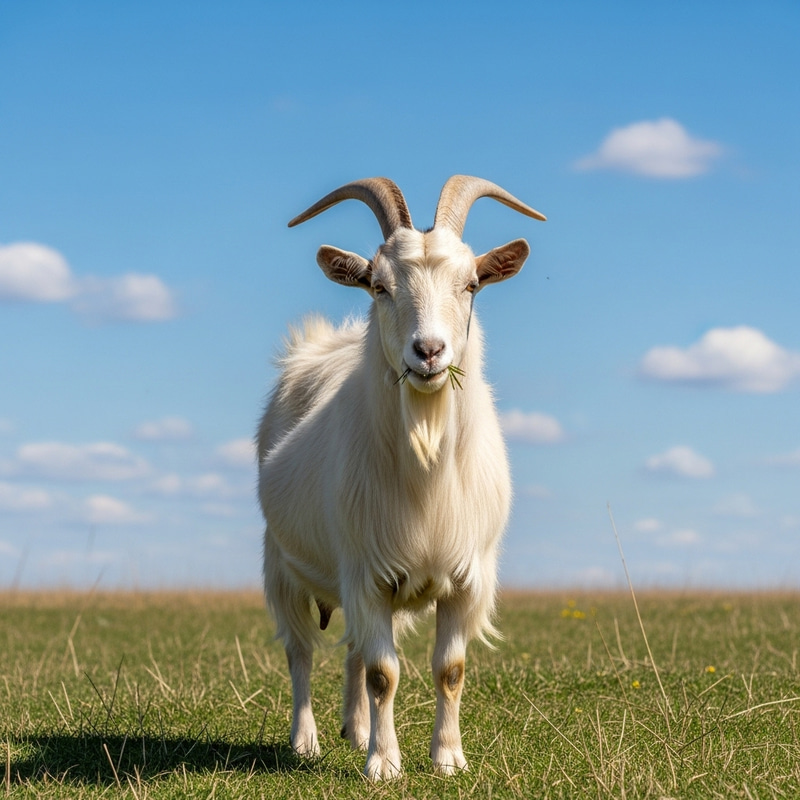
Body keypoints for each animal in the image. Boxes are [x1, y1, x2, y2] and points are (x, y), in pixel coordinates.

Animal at [257, 176, 545, 779]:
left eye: (472, 284)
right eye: (379, 286)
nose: (429, 352)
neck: (426, 468)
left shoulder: (465, 578)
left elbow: (449, 669)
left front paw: (448, 757)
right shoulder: (366, 573)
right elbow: (383, 673)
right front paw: (385, 764)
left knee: (351, 649)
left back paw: (355, 729)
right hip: (282, 563)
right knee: (301, 651)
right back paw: (306, 740)